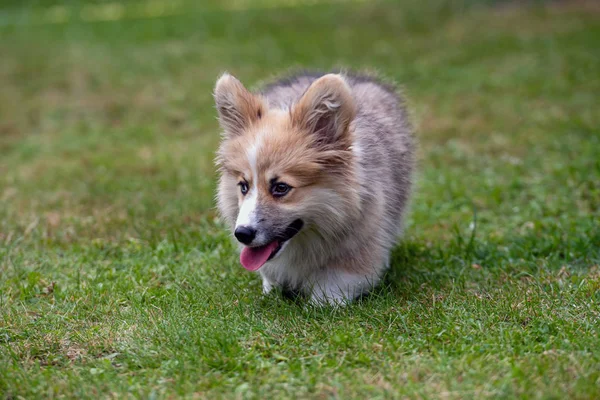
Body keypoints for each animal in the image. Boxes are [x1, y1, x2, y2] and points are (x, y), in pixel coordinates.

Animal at [213, 71, 414, 304]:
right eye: (243, 186)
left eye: (281, 188)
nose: (242, 234)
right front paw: (272, 288)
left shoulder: (359, 244)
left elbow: (337, 281)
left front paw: (321, 303)